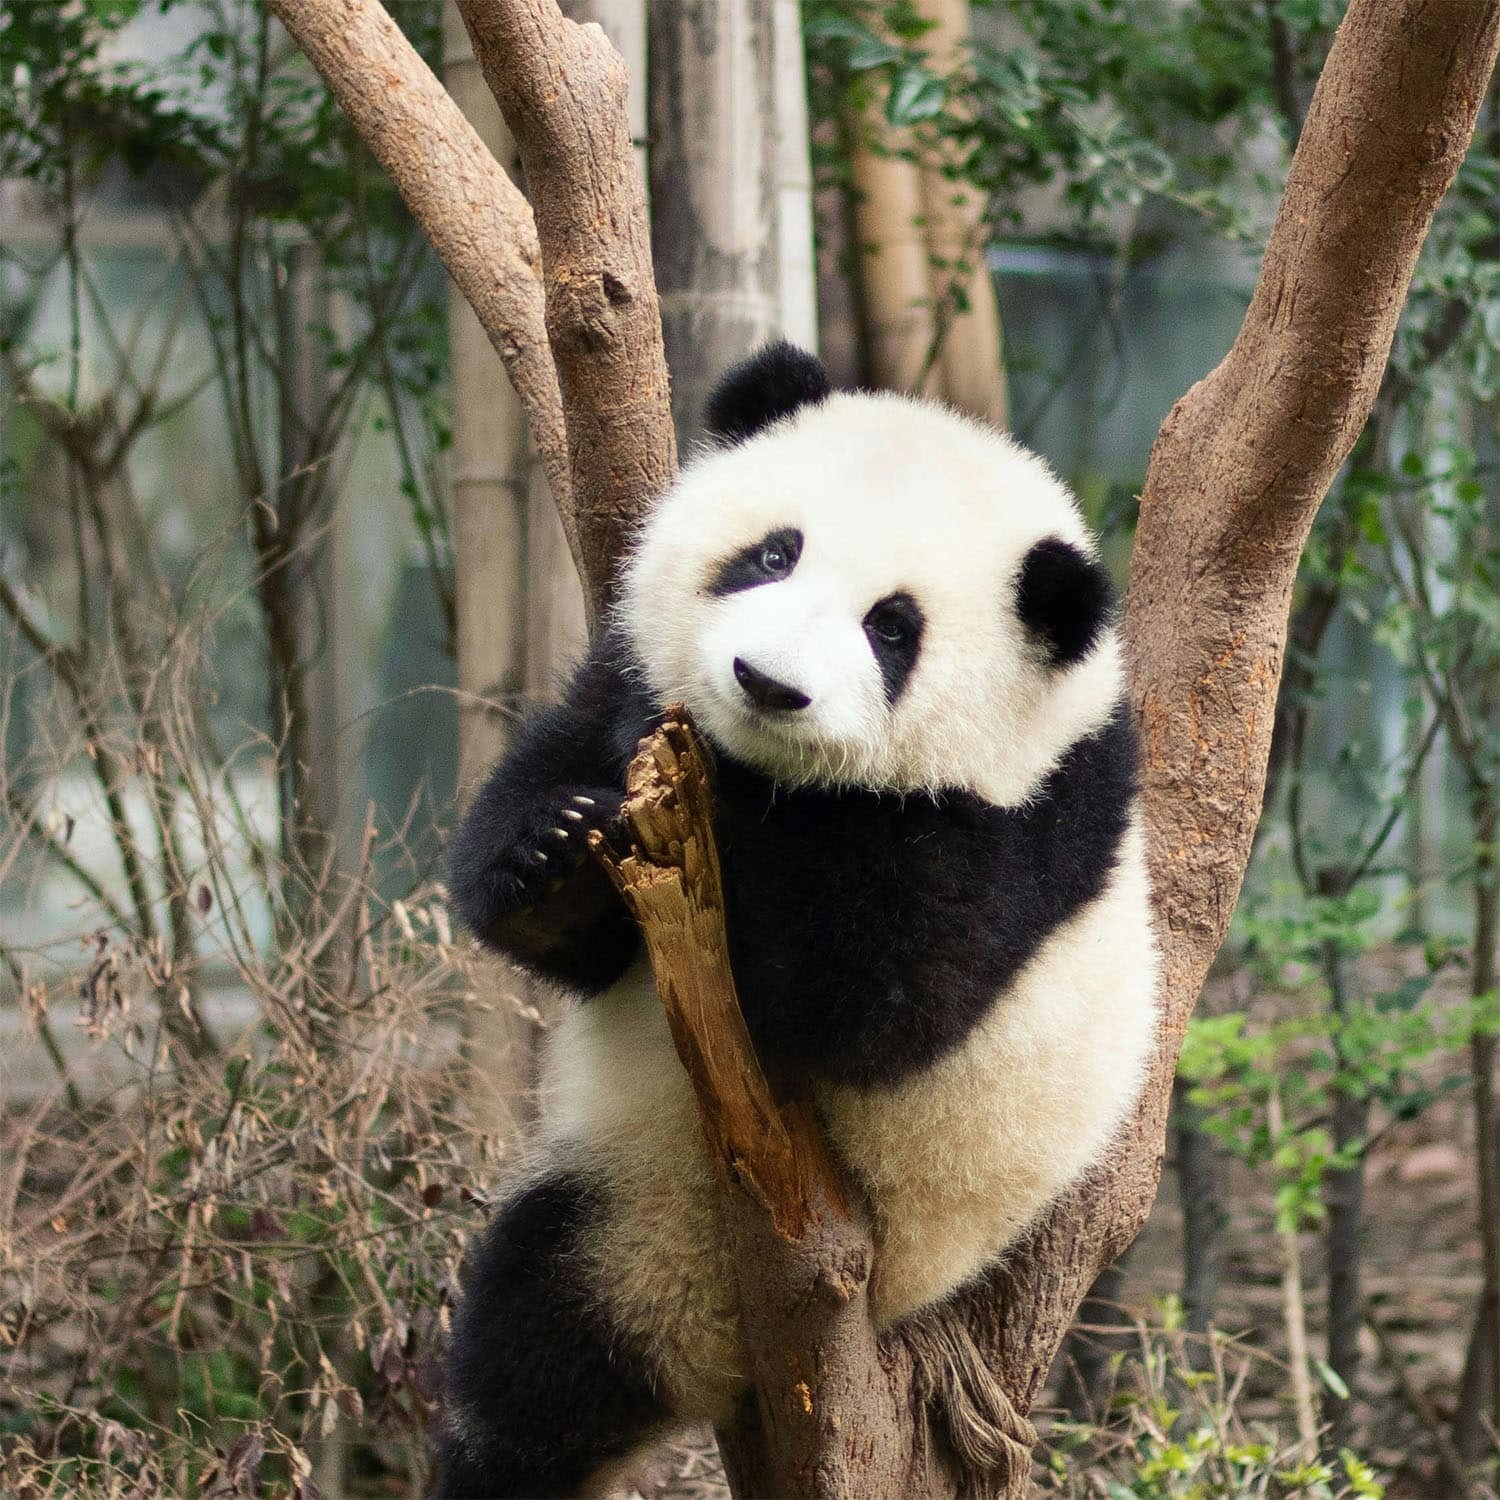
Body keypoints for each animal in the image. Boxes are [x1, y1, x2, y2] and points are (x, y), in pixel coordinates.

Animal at [441, 343, 1158, 1498]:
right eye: (772, 553)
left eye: (891, 628)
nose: (764, 683)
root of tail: (710, 1340)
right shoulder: (624, 676)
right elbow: (566, 865)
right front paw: (553, 846)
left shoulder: (1012, 824)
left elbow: (873, 1003)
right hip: (617, 1205)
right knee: (523, 1378)